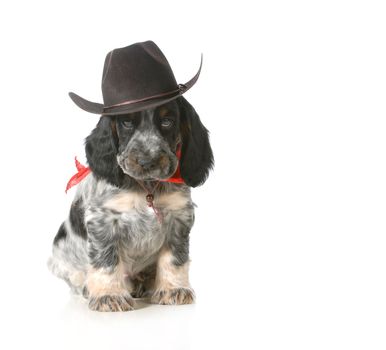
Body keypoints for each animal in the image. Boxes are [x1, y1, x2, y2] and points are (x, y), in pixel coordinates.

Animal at [47, 95, 214, 312]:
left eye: (167, 121)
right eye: (126, 123)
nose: (147, 161)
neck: (146, 188)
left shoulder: (178, 216)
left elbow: (175, 257)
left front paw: (173, 289)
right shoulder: (103, 219)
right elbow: (107, 259)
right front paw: (109, 295)